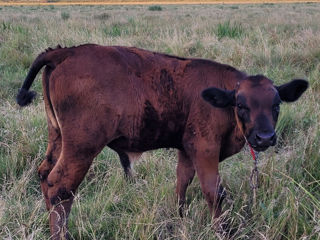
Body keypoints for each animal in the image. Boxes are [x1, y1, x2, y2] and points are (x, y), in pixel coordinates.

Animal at [16, 44, 308, 239]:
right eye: (241, 105)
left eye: (276, 105)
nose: (265, 137)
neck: (220, 98)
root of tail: (66, 52)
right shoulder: (205, 149)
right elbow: (214, 191)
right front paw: (221, 231)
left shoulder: (187, 151)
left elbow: (182, 183)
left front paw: (180, 218)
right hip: (81, 149)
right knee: (60, 187)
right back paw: (61, 234)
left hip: (58, 139)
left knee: (45, 175)